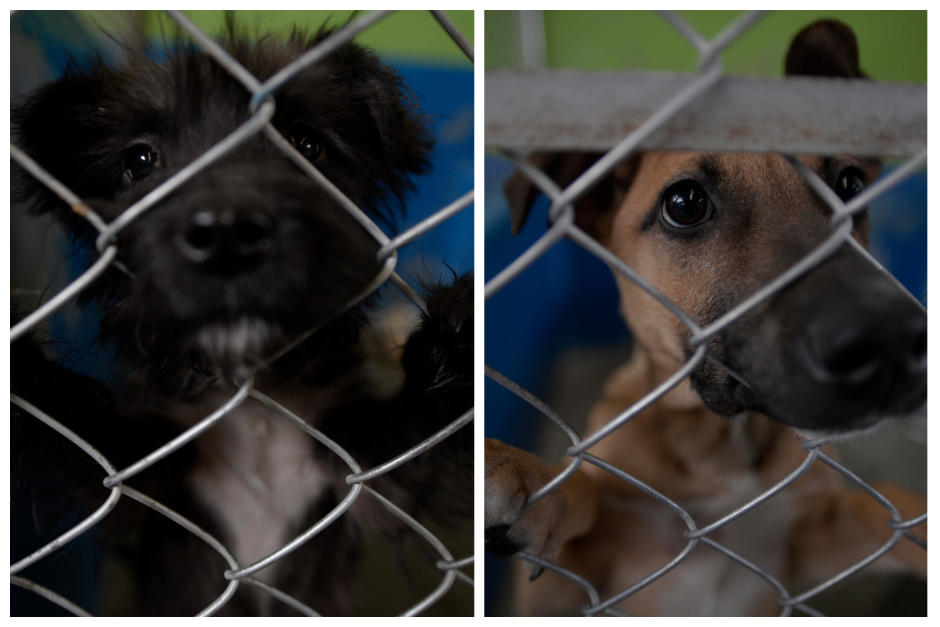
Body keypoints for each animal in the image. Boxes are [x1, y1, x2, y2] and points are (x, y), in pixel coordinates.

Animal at [10, 19, 470, 620]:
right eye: (139, 161)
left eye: (306, 145)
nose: (225, 234)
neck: (253, 406)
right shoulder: (130, 480)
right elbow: (62, 418)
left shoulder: (374, 478)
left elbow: (417, 433)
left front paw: (458, 332)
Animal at [484, 20, 924, 620]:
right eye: (685, 203)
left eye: (851, 184)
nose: (894, 341)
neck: (723, 446)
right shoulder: (570, 591)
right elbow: (591, 498)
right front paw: (534, 478)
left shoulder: (805, 533)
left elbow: (885, 506)